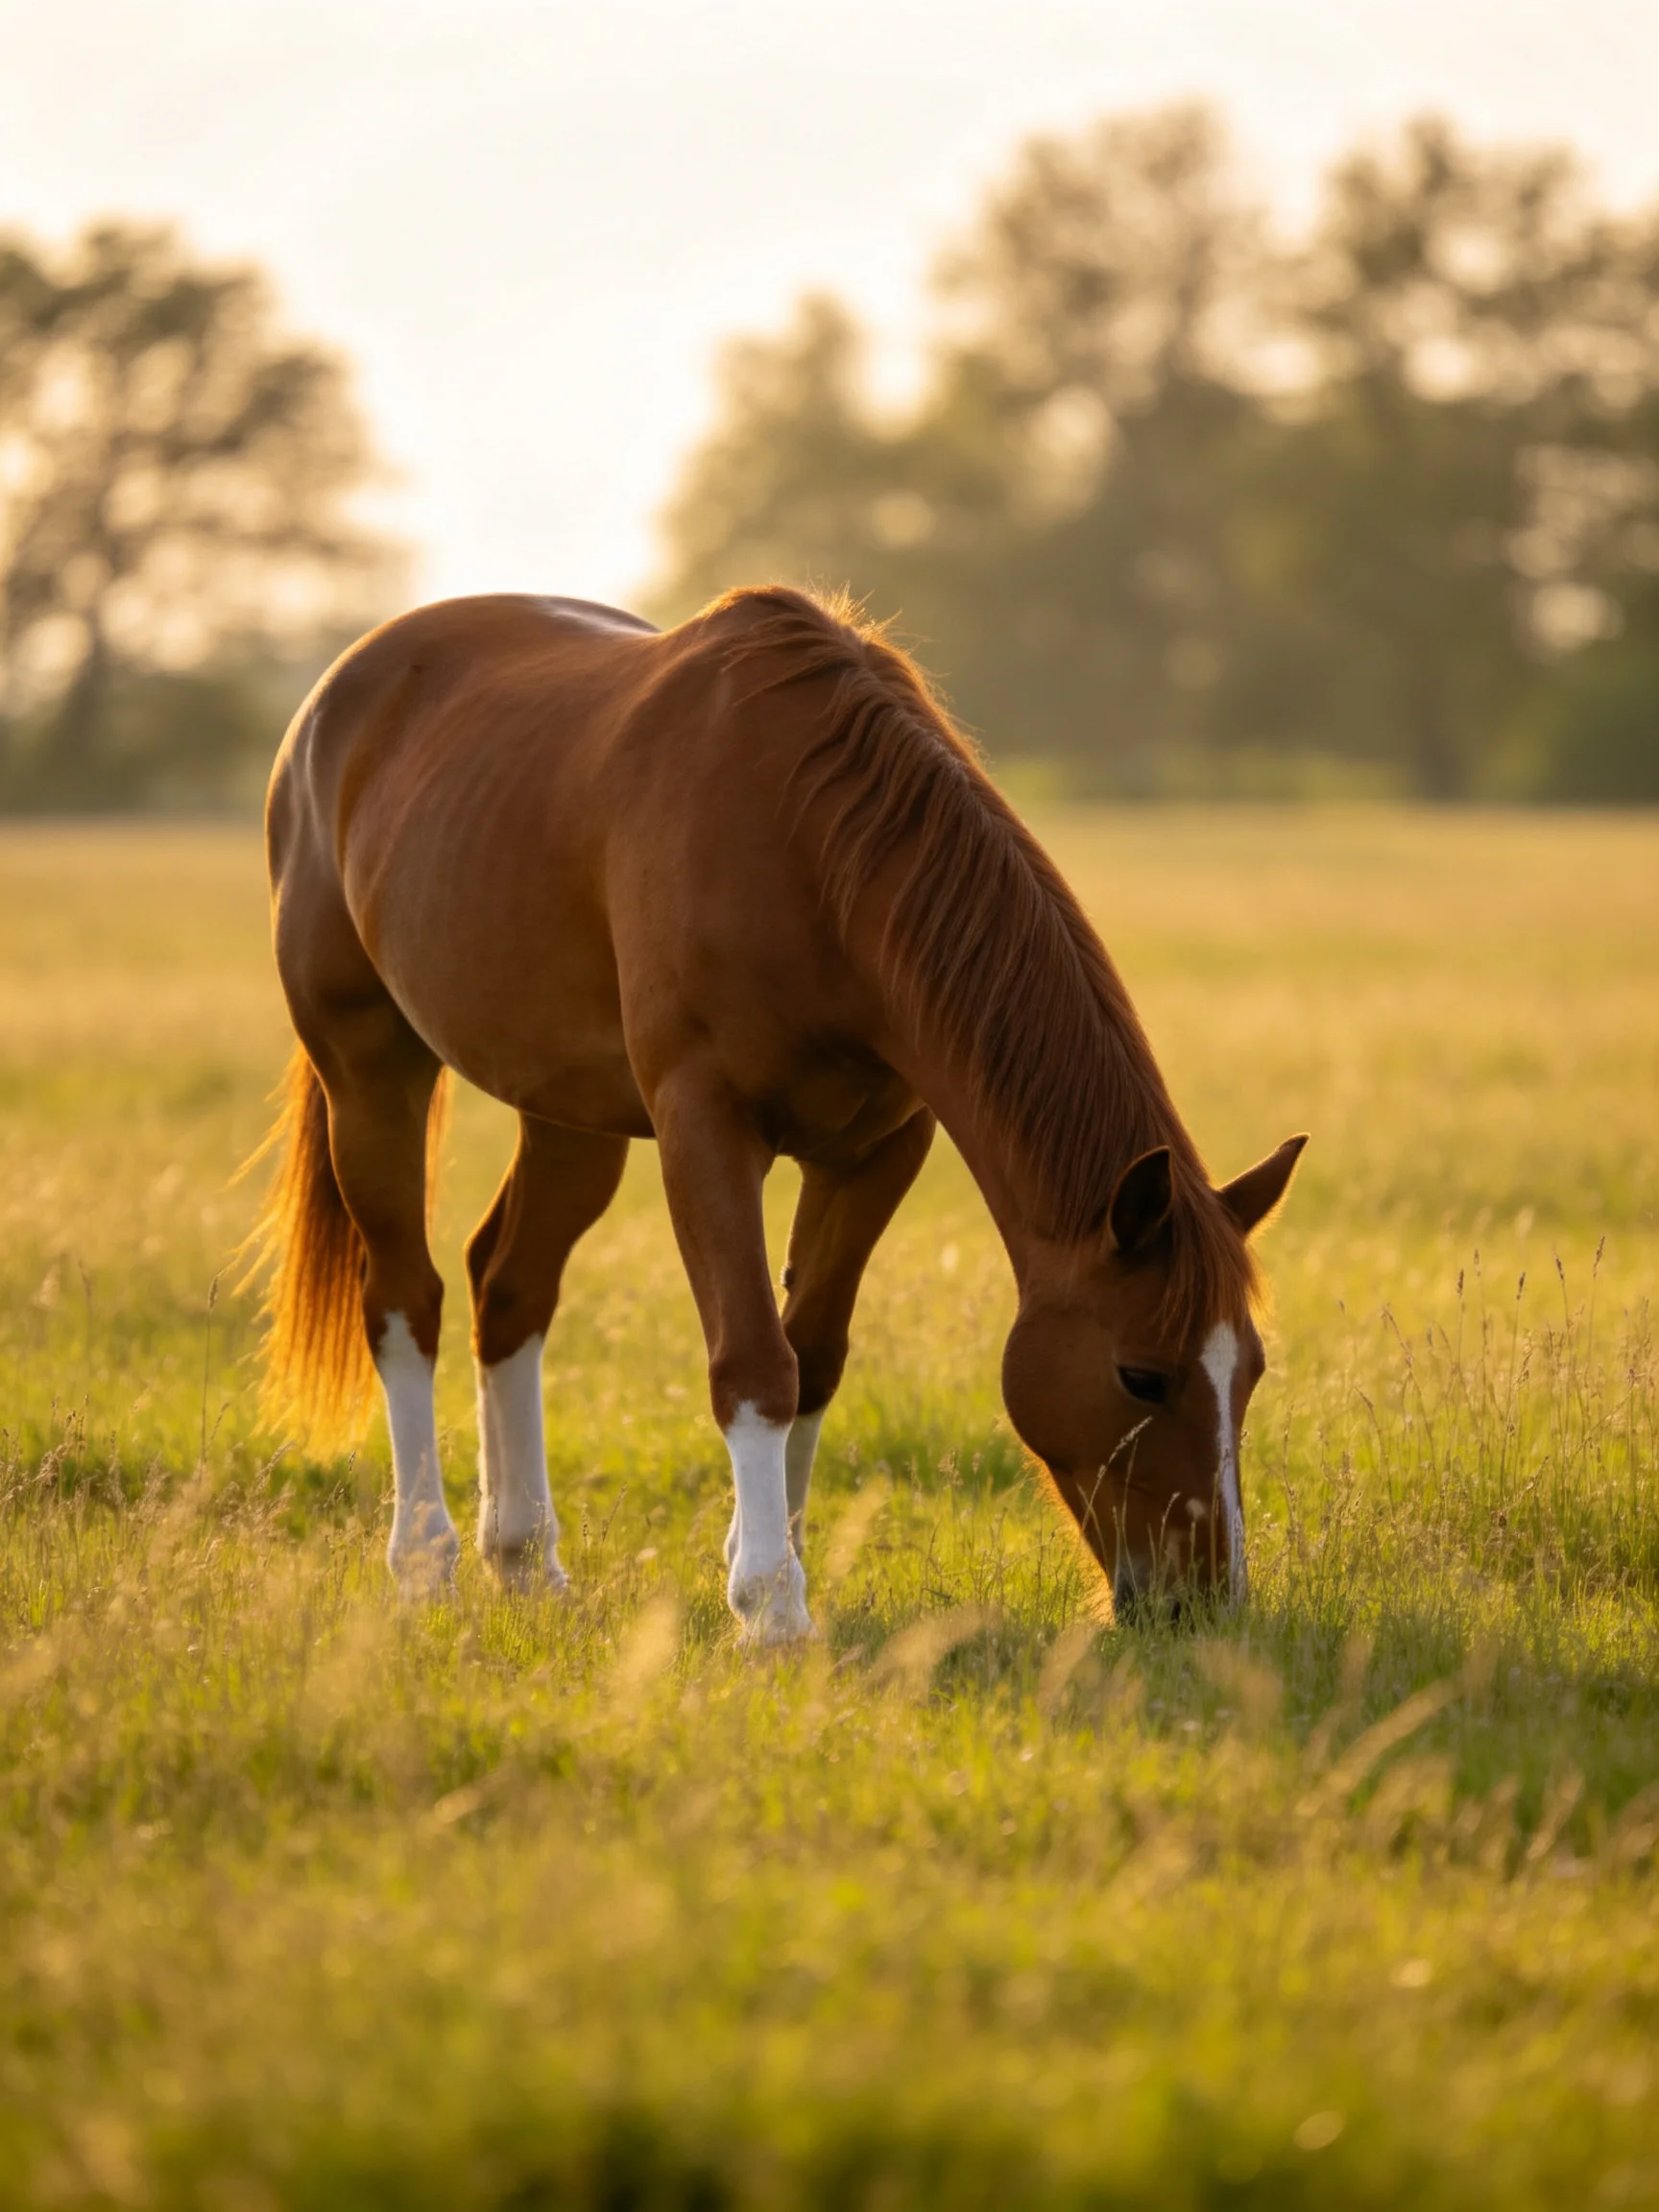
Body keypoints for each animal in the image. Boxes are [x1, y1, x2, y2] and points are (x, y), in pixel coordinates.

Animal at [251, 585, 1305, 1640]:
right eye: (1141, 1375)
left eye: (1250, 1370)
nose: (1205, 1601)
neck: (810, 860)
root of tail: (333, 701)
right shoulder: (706, 1130)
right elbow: (756, 1362)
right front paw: (768, 1607)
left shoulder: (877, 1151)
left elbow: (815, 1356)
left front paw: (775, 1564)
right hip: (369, 1071)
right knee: (405, 1297)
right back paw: (423, 1562)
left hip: (567, 1112)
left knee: (509, 1287)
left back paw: (523, 1561)